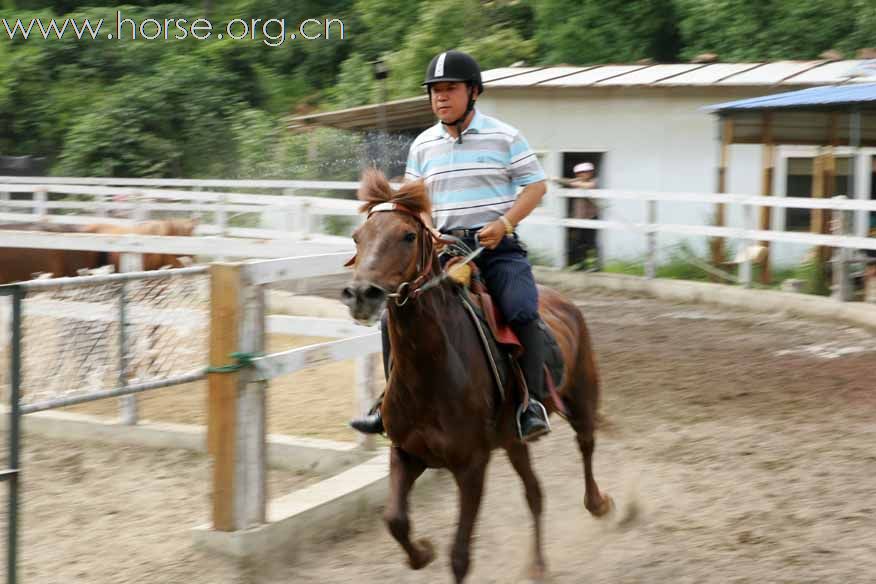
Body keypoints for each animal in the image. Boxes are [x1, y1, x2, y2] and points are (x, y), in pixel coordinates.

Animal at [338, 170, 612, 584]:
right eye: (358, 236)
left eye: (408, 236)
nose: (360, 294)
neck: (429, 375)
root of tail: (565, 304)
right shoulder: (405, 453)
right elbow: (395, 520)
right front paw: (423, 552)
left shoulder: (471, 466)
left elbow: (460, 556)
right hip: (513, 442)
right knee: (535, 494)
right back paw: (537, 564)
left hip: (581, 398)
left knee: (586, 445)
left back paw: (597, 503)